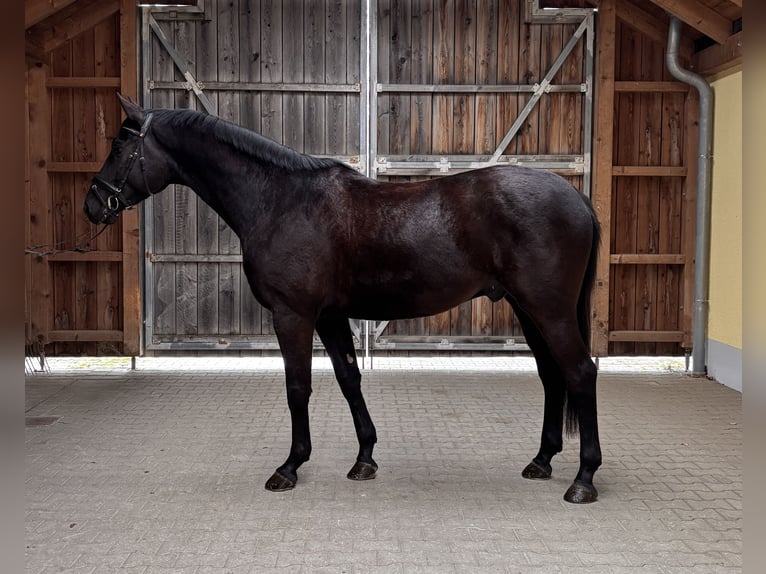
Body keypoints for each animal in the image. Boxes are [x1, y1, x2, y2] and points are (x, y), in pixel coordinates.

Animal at [85, 94, 602, 504]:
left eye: (119, 146)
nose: (92, 205)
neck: (280, 201)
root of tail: (577, 198)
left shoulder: (293, 315)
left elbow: (298, 388)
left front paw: (289, 467)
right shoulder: (330, 317)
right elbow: (349, 380)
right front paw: (365, 458)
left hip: (550, 311)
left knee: (579, 373)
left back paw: (583, 478)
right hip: (527, 309)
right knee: (551, 376)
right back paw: (542, 460)